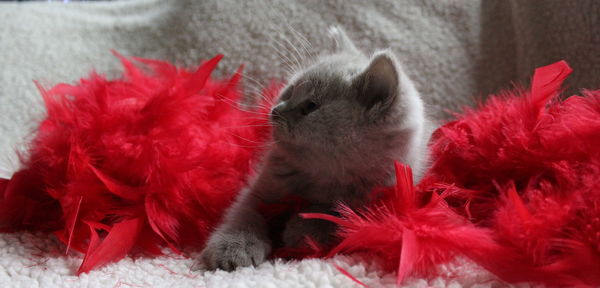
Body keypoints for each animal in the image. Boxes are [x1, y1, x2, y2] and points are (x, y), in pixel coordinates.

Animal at [200, 26, 432, 270]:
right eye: (290, 90)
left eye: (310, 106)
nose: (276, 110)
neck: (325, 174)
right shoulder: (262, 186)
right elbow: (244, 211)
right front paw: (232, 247)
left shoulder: (380, 199)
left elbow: (336, 216)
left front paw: (303, 228)